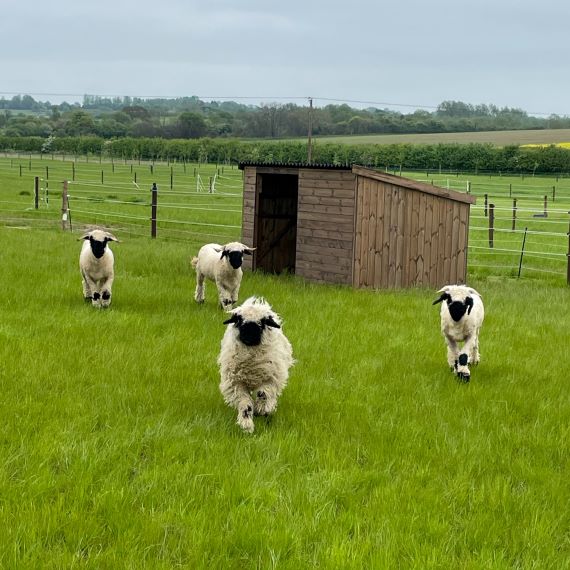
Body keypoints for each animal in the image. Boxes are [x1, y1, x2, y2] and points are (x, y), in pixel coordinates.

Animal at [216, 296, 292, 432]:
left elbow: (263, 394)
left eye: (262, 322)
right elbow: (245, 404)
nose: (248, 336)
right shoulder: (236, 383)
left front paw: (261, 409)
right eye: (240, 320)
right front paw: (246, 424)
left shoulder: (269, 379)